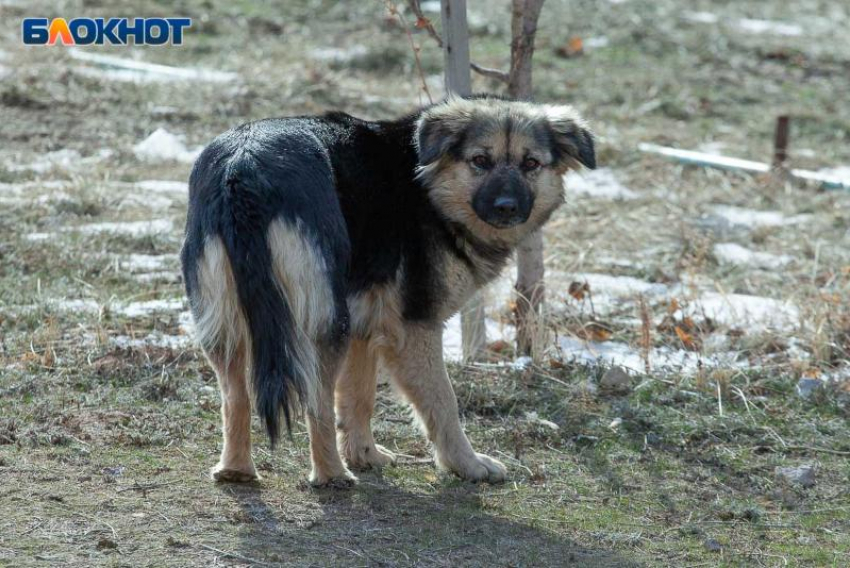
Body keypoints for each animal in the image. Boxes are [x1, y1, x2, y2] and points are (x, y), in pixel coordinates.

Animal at [182, 95, 592, 486]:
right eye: (480, 160)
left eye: (531, 164)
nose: (507, 207)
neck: (425, 185)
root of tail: (243, 167)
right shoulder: (414, 327)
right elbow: (442, 401)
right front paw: (467, 464)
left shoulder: (365, 326)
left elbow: (358, 397)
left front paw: (365, 454)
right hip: (324, 316)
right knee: (315, 401)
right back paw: (332, 476)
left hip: (226, 320)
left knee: (235, 397)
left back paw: (236, 470)